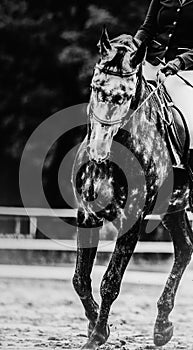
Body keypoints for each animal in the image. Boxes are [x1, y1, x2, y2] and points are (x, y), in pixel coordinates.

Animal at [71, 28, 193, 348]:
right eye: (95, 86)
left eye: (125, 96)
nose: (98, 150)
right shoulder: (87, 215)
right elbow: (80, 278)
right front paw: (94, 325)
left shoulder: (133, 221)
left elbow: (110, 281)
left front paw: (97, 335)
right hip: (174, 208)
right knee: (185, 248)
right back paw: (162, 326)